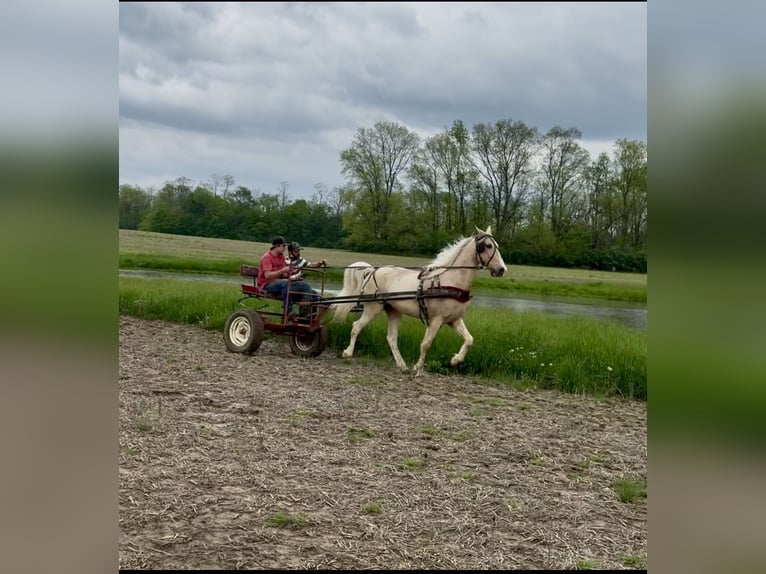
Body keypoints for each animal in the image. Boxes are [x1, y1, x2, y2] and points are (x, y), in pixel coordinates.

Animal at [330, 225, 507, 376]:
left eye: (497, 245)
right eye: (488, 245)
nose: (502, 269)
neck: (450, 280)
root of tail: (372, 271)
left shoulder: (454, 320)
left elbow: (469, 339)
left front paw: (455, 360)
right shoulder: (436, 320)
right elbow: (426, 344)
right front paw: (418, 368)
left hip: (393, 311)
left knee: (391, 338)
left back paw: (402, 365)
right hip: (372, 309)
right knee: (356, 327)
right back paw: (347, 353)